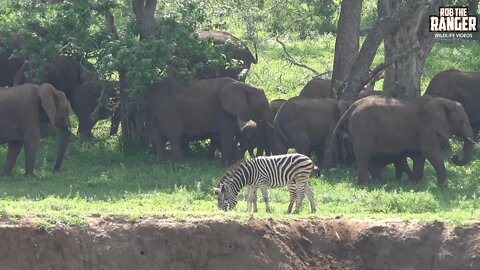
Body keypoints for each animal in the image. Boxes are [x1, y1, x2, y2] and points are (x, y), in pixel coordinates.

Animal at [146, 77, 274, 163]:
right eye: (262, 105)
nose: (257, 157)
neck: (244, 86)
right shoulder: (222, 109)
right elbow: (227, 132)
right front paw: (226, 164)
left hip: (158, 111)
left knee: (160, 138)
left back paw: (162, 162)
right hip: (168, 110)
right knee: (174, 136)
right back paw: (178, 163)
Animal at [332, 94, 474, 186]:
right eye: (462, 121)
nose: (454, 157)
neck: (440, 101)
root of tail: (353, 106)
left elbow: (419, 156)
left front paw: (415, 183)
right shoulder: (425, 128)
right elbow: (431, 153)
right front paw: (442, 186)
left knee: (370, 159)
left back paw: (378, 183)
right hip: (363, 130)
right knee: (364, 156)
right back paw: (365, 184)